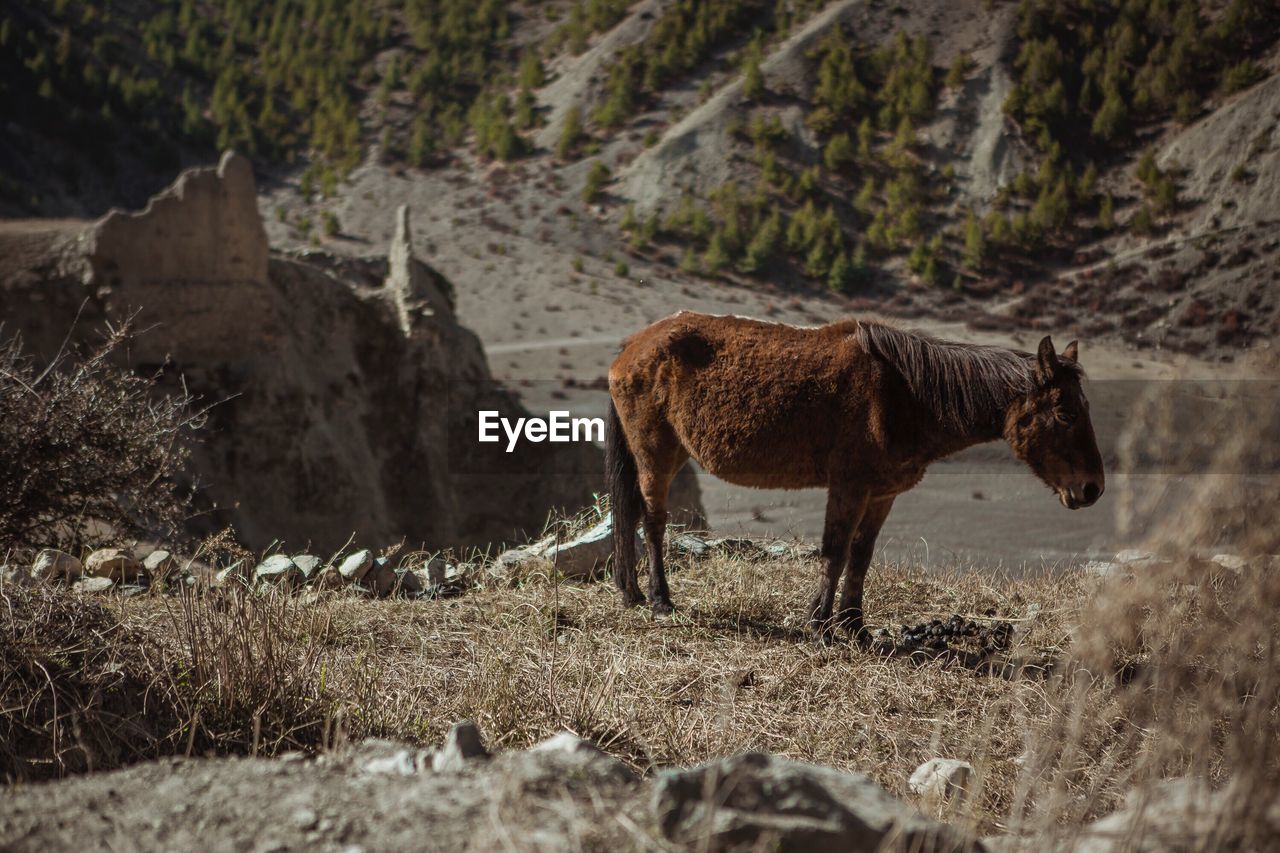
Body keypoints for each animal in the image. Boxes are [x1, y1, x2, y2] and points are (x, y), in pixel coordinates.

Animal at [604, 311, 1105, 637]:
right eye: (1065, 413)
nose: (1092, 488)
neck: (905, 394)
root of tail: (632, 346)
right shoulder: (848, 487)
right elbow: (835, 551)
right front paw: (820, 624)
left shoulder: (882, 494)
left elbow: (861, 555)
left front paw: (854, 625)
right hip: (656, 452)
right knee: (652, 520)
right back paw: (660, 600)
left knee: (631, 514)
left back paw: (630, 593)